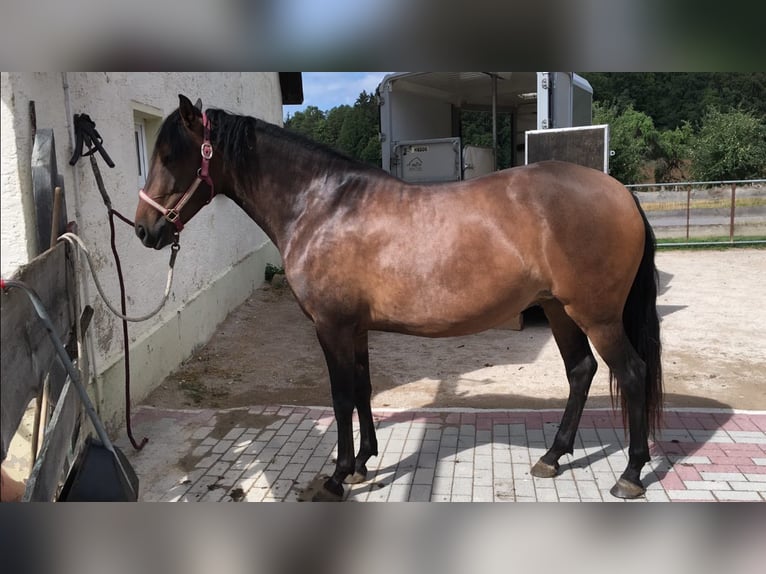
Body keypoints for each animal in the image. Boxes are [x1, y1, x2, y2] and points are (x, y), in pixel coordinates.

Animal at [135, 97, 664, 502]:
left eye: (171, 155)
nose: (144, 229)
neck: (322, 206)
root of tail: (621, 193)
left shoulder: (330, 326)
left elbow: (340, 397)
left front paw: (336, 477)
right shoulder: (354, 328)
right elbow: (363, 389)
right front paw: (362, 463)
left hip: (596, 315)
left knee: (632, 373)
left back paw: (630, 475)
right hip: (559, 309)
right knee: (581, 371)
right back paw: (553, 457)